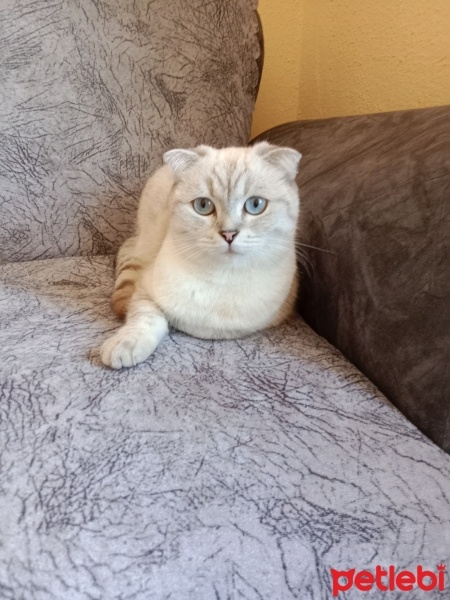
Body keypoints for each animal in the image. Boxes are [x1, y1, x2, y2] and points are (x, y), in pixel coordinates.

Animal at [100, 143, 300, 368]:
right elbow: (147, 317)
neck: (222, 278)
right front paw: (125, 344)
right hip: (145, 239)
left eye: (255, 204)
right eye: (203, 205)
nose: (229, 234)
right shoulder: (145, 289)